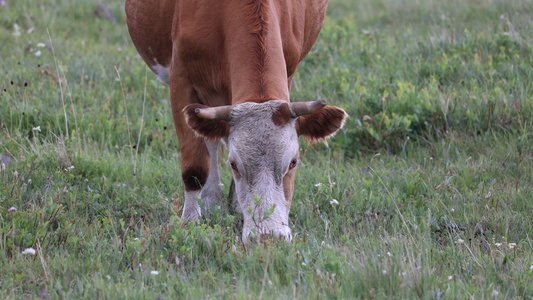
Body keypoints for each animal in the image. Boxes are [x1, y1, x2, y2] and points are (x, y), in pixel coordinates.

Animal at [127, 0, 348, 240]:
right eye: (233, 164)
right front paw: (189, 224)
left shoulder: (288, 73)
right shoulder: (181, 79)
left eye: (294, 161)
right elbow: (195, 167)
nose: (267, 236)